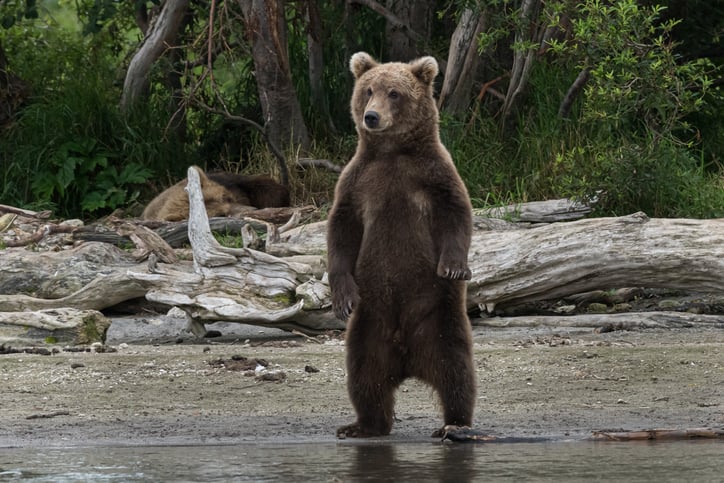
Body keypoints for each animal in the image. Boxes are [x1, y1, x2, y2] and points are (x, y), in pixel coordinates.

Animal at [326, 53, 476, 438]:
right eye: (368, 90)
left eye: (394, 92)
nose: (371, 116)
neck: (392, 152)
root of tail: (407, 358)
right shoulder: (357, 181)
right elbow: (341, 231)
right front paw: (342, 298)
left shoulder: (433, 174)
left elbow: (457, 212)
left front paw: (454, 266)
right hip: (369, 325)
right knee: (364, 375)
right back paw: (362, 425)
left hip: (439, 319)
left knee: (457, 372)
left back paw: (455, 424)